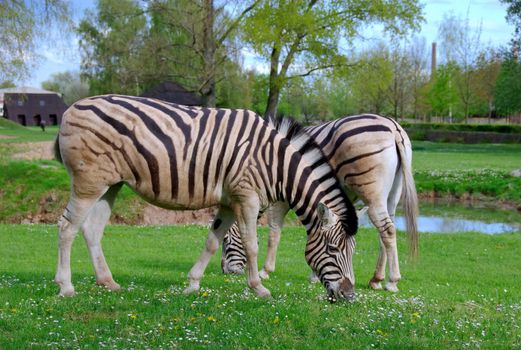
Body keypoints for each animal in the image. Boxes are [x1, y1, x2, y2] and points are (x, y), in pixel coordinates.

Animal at [54, 95, 360, 300]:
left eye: (352, 251)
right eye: (333, 250)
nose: (349, 296)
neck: (275, 164)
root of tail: (72, 107)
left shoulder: (228, 202)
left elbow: (212, 242)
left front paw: (192, 283)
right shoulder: (246, 198)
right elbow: (252, 245)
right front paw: (259, 287)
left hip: (110, 184)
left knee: (92, 229)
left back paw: (107, 282)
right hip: (88, 183)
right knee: (67, 227)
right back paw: (66, 286)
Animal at [220, 114, 418, 292]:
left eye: (226, 239)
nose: (225, 271)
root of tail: (394, 128)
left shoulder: (281, 197)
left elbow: (274, 232)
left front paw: (265, 271)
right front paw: (316, 274)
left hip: (371, 192)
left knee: (387, 230)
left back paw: (392, 281)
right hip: (392, 195)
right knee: (385, 232)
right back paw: (376, 279)